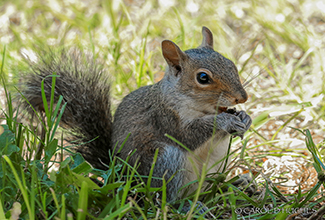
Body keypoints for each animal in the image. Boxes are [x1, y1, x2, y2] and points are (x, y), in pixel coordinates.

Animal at [19, 27, 251, 206]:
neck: (202, 108)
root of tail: (120, 178)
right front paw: (225, 121)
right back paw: (186, 205)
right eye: (203, 78)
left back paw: (235, 185)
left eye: (231, 64)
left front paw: (245, 118)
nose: (242, 97)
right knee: (164, 199)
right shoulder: (165, 117)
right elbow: (188, 135)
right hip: (165, 162)